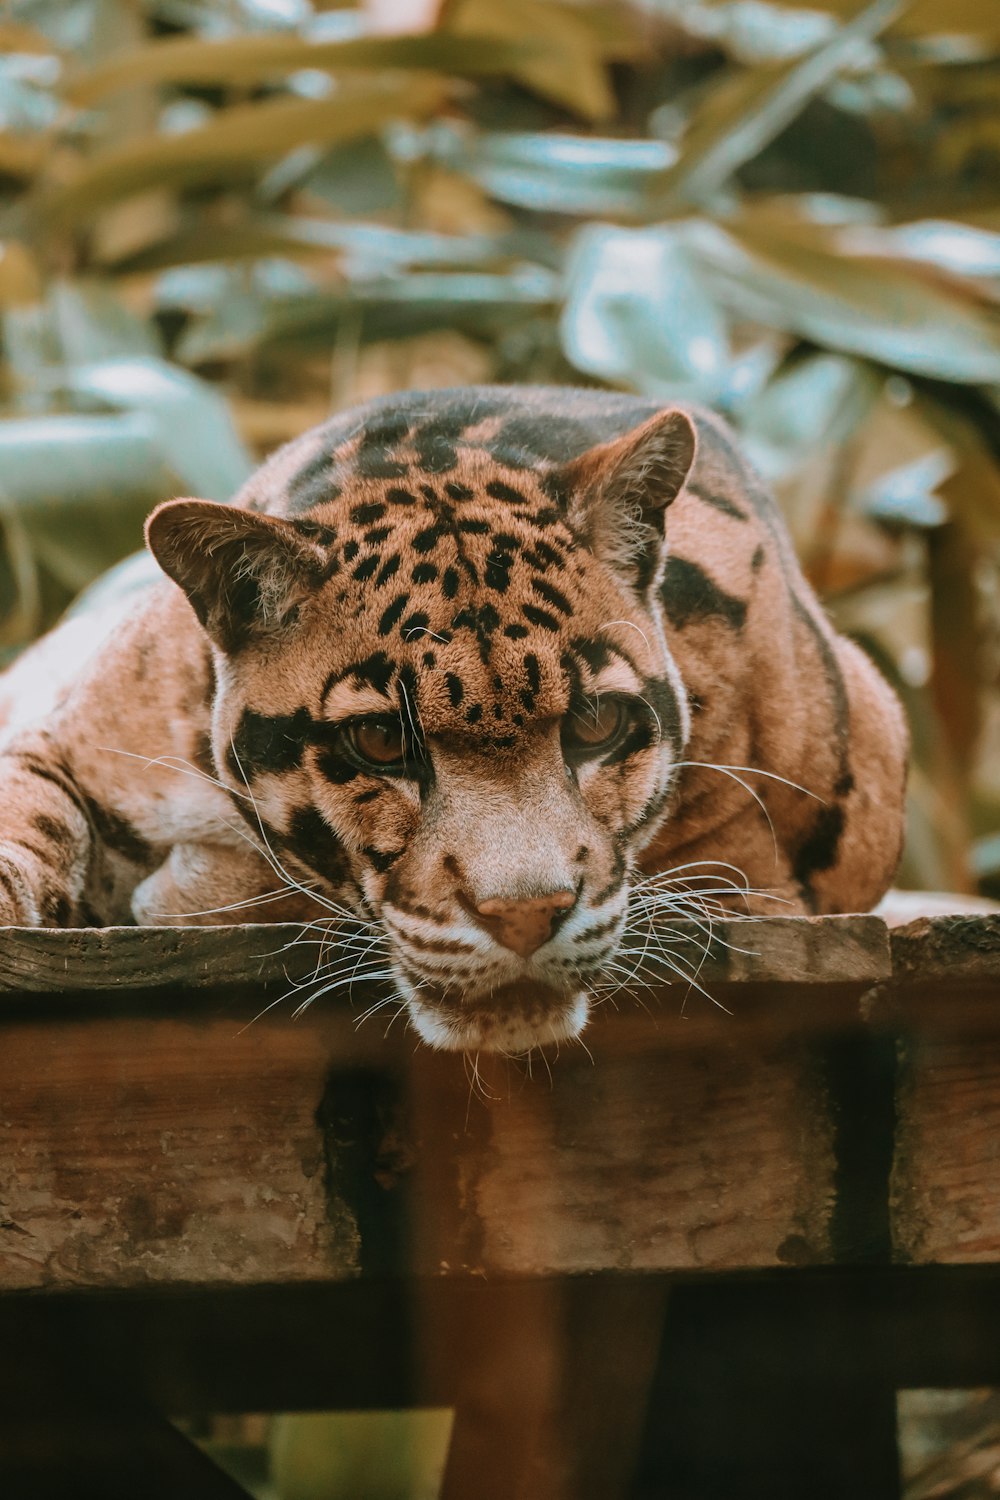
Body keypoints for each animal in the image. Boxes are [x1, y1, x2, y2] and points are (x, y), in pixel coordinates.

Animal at [0, 381, 911, 1050]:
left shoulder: (756, 875)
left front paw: (191, 886)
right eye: (376, 741)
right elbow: (30, 811)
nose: (526, 915)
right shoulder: (56, 735)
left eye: (595, 727)